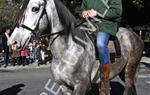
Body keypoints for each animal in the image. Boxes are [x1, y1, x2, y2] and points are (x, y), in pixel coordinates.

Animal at [8, 0, 144, 95]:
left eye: (35, 8)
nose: (13, 42)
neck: (67, 52)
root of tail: (135, 35)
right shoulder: (64, 86)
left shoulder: (81, 85)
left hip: (129, 70)